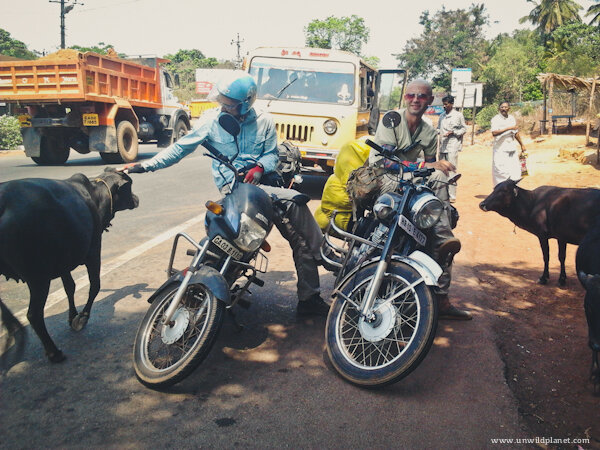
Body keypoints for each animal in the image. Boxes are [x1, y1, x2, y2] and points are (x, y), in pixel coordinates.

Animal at [0, 168, 138, 362]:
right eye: (130, 185)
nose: (136, 198)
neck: (95, 194)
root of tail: (3, 201)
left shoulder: (63, 262)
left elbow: (70, 287)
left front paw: (72, 315)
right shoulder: (93, 250)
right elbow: (95, 285)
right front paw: (82, 317)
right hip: (38, 277)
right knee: (34, 314)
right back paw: (54, 352)